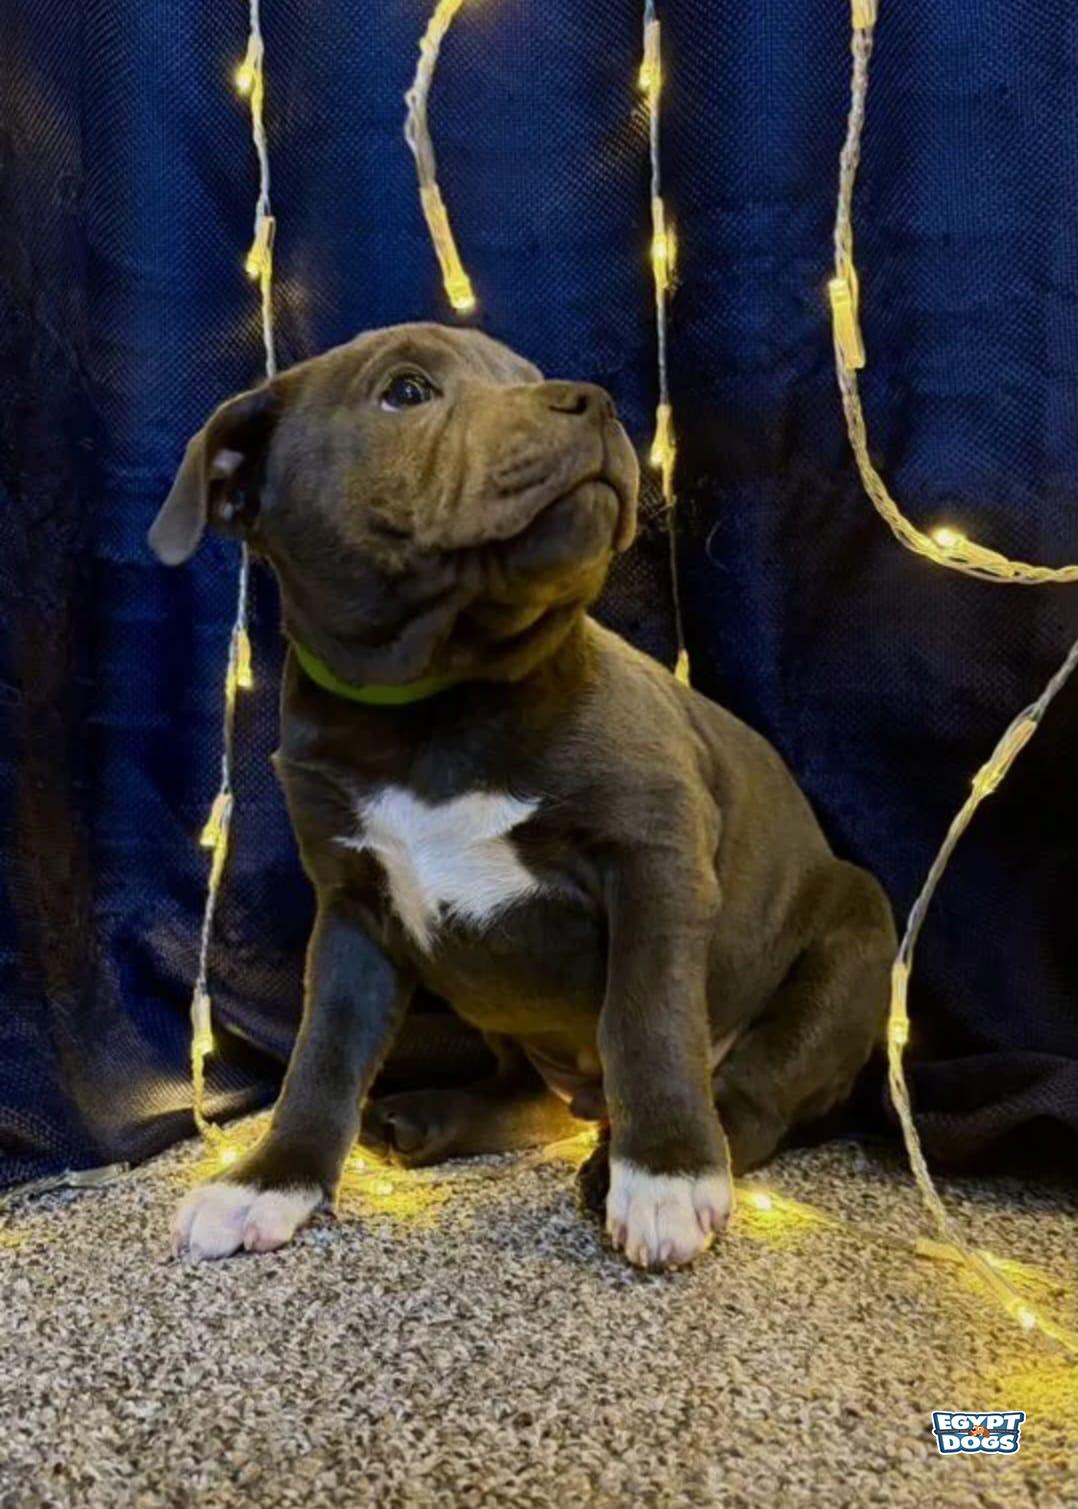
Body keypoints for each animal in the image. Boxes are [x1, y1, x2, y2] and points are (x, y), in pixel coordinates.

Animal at [152, 323, 896, 1269]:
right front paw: (267, 1182)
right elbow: (321, 1055)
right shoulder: (354, 909)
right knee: (537, 1097)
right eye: (406, 391)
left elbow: (648, 1018)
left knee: (751, 1091)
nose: (597, 401)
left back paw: (639, 1156)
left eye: (530, 376)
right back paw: (427, 1116)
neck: (439, 702)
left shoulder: (656, 859)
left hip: (851, 942)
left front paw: (665, 1173)